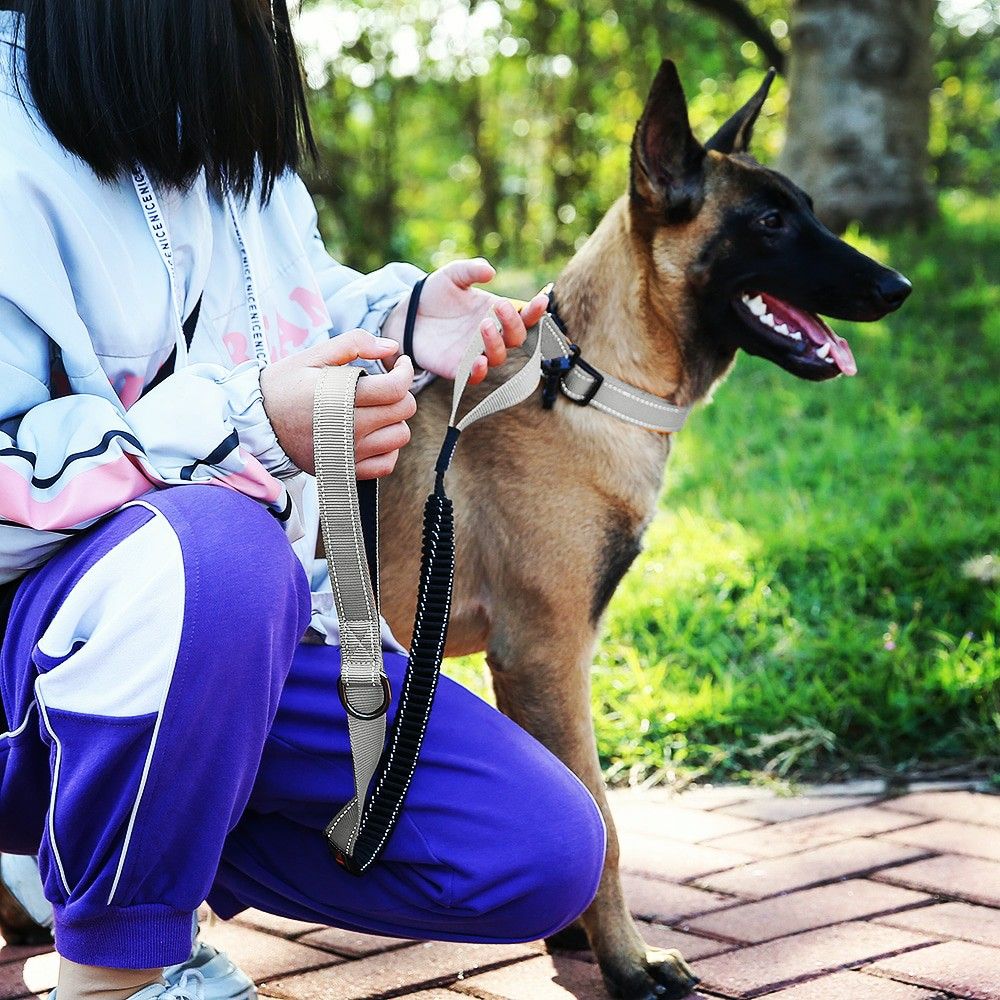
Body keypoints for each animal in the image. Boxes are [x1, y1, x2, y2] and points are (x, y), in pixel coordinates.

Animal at [378, 62, 912, 1000]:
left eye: (806, 206)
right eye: (770, 221)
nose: (897, 287)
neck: (590, 378)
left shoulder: (533, 669)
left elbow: (589, 816)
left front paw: (583, 932)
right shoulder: (547, 656)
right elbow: (604, 818)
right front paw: (628, 961)